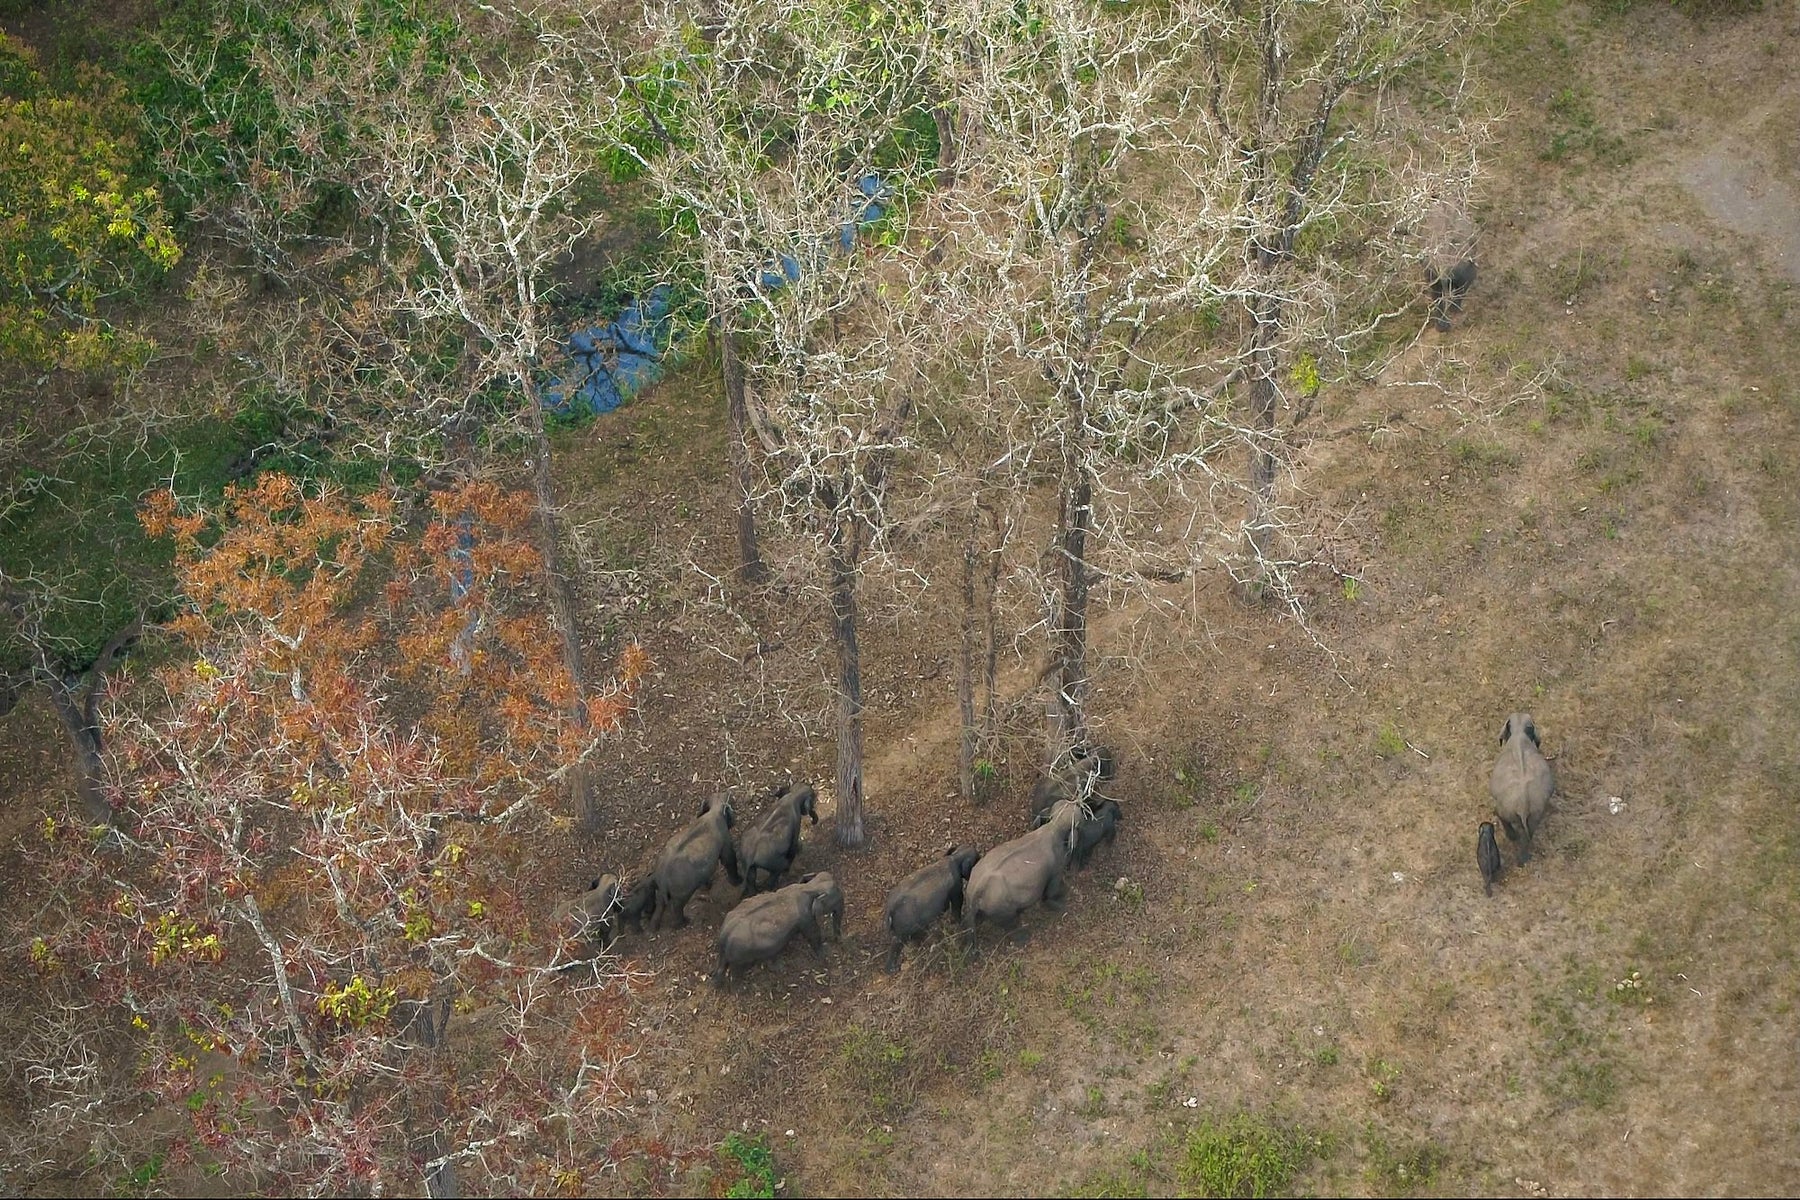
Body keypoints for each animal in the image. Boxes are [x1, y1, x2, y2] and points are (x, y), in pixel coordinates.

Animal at [649, 792, 742, 928]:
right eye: (732, 803)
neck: (713, 811)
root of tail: (663, 878)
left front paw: (707, 886)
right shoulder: (724, 836)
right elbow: (729, 858)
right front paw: (738, 881)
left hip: (660, 885)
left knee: (660, 900)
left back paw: (653, 927)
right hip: (681, 889)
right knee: (676, 905)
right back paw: (682, 923)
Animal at [713, 871, 844, 985]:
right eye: (837, 896)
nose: (838, 940)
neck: (810, 886)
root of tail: (725, 933)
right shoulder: (805, 916)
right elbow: (813, 934)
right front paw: (825, 952)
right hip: (742, 954)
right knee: (738, 971)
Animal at [964, 800, 1084, 935]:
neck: (1053, 827)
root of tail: (974, 893)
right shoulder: (1056, 868)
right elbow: (1050, 893)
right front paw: (1062, 904)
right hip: (1000, 908)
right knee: (1009, 923)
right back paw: (1023, 935)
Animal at [1490, 712, 1554, 866]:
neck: (1519, 733)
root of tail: (1523, 807)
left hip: (1506, 808)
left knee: (1501, 815)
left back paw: (1512, 838)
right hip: (1535, 812)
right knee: (1528, 834)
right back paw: (1523, 860)